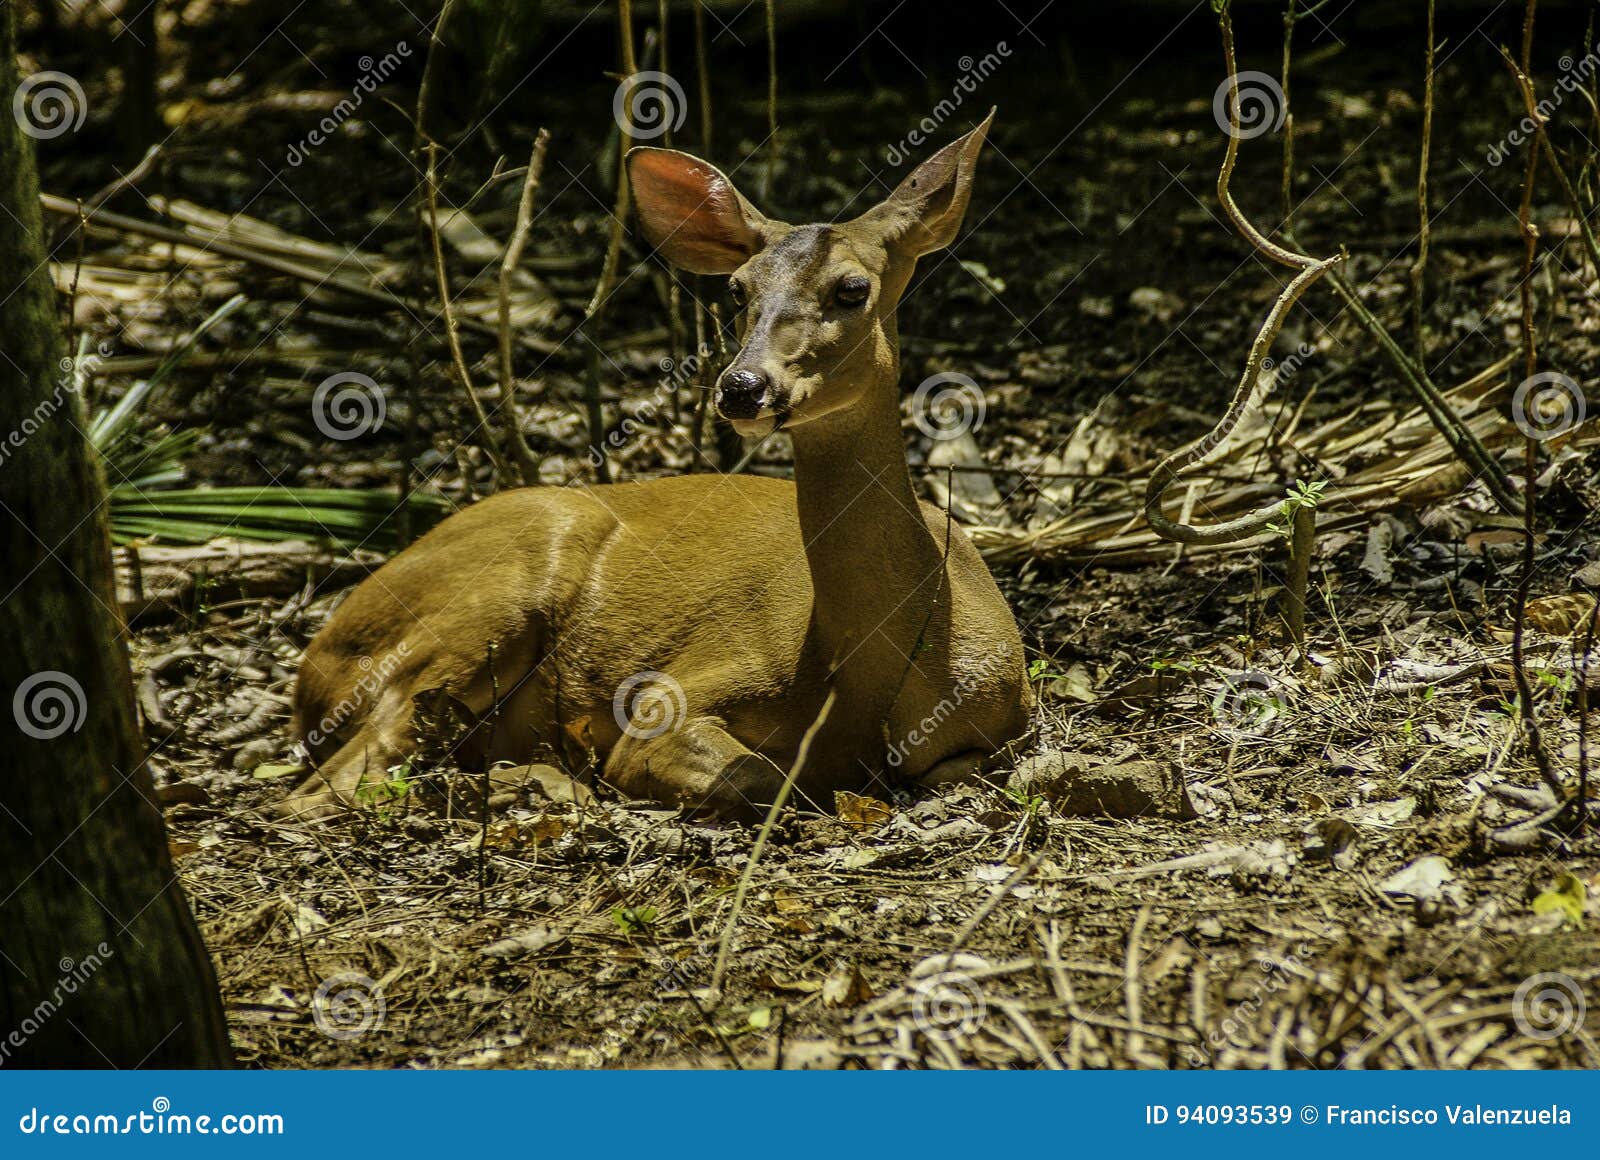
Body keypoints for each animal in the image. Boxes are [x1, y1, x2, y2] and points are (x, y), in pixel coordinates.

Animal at [282, 111, 1033, 822]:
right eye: (737, 291)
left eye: (852, 288)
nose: (742, 386)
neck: (871, 678)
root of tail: (311, 669)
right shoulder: (677, 690)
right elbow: (762, 777)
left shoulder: (1004, 726)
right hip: (492, 591)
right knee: (336, 779)